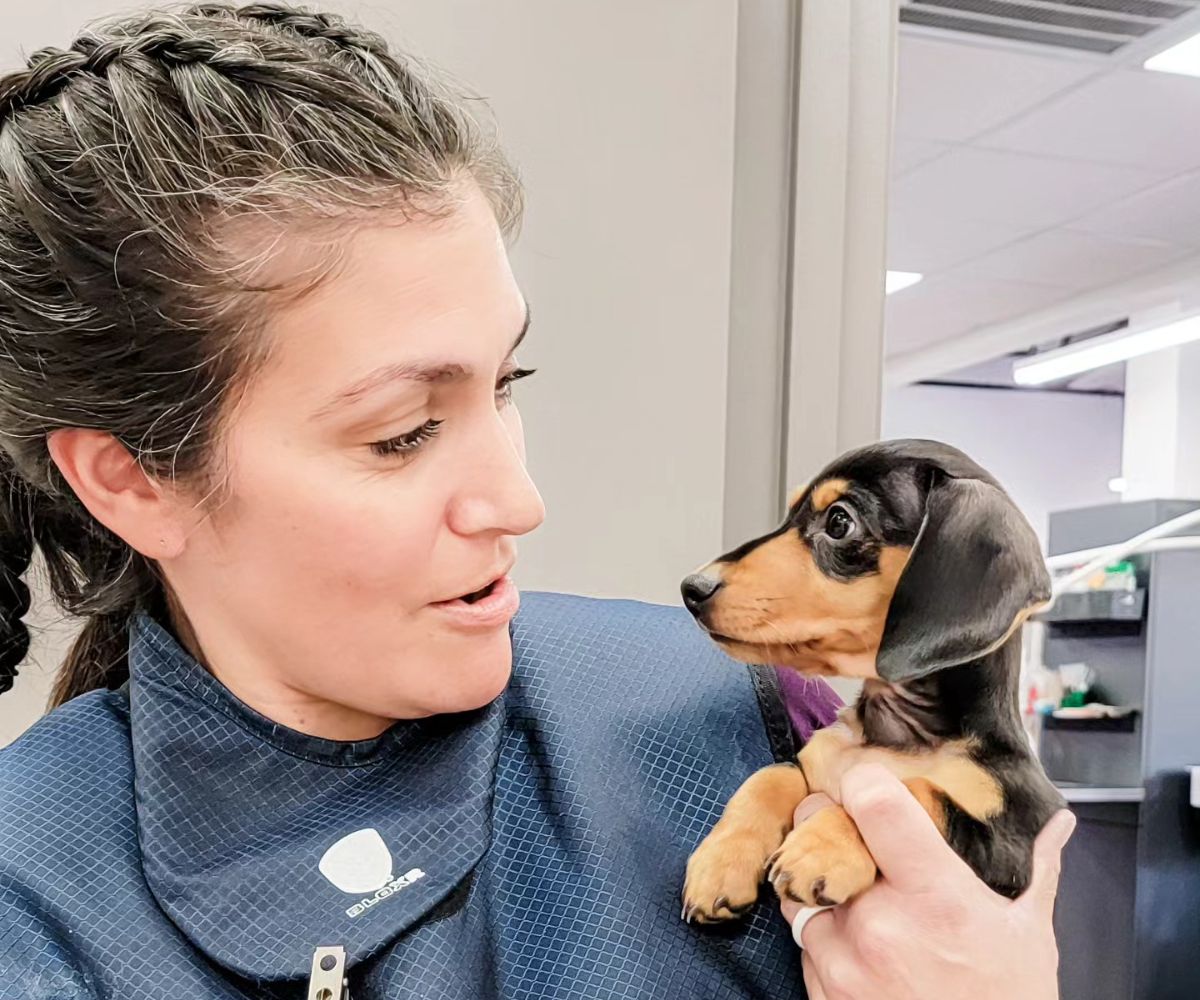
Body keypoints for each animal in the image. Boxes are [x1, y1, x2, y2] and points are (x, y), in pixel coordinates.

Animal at [681, 436, 1065, 921]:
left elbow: (918, 791)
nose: (691, 589)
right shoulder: (813, 764)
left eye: (839, 521)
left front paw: (823, 847)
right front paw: (724, 857)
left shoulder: (1012, 851)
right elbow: (775, 773)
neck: (898, 735)